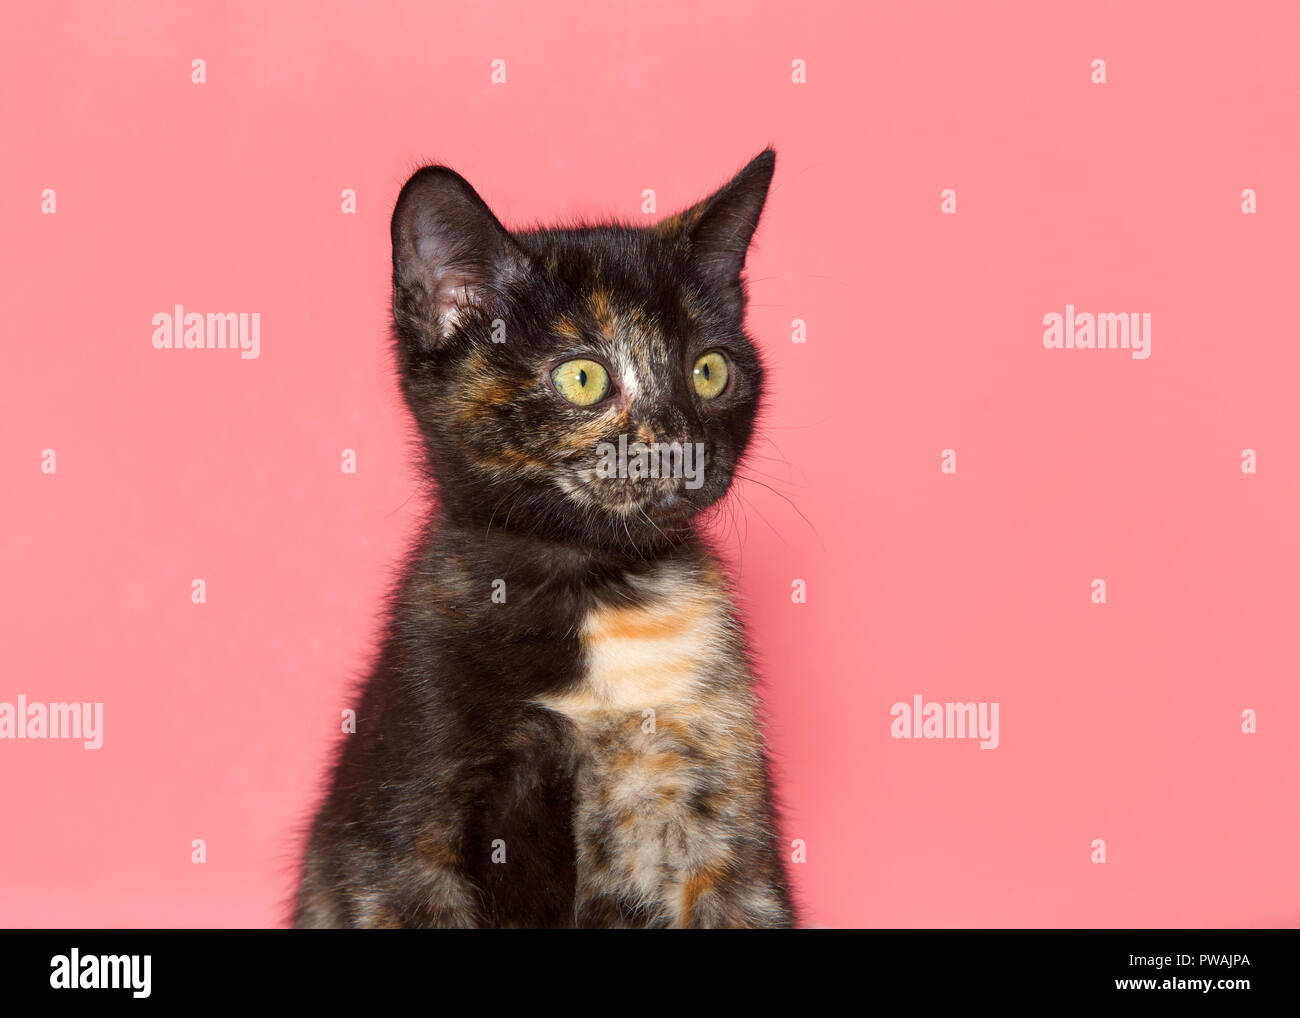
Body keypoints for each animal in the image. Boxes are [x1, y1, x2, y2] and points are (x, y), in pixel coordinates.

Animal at [295, 147, 790, 925]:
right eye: (583, 377)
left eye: (710, 370)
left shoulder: (728, 834)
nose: (683, 448)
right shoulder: (403, 838)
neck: (595, 588)